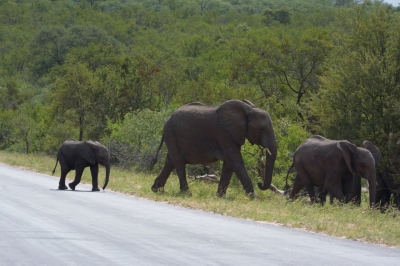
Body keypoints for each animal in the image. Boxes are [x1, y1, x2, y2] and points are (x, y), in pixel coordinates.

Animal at [150, 98, 278, 196]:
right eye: (261, 129)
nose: (260, 184)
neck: (248, 110)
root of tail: (168, 119)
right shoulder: (224, 133)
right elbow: (235, 160)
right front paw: (252, 197)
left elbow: (229, 164)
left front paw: (220, 196)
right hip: (171, 133)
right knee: (179, 161)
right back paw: (187, 194)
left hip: (172, 135)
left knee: (170, 161)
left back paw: (157, 190)